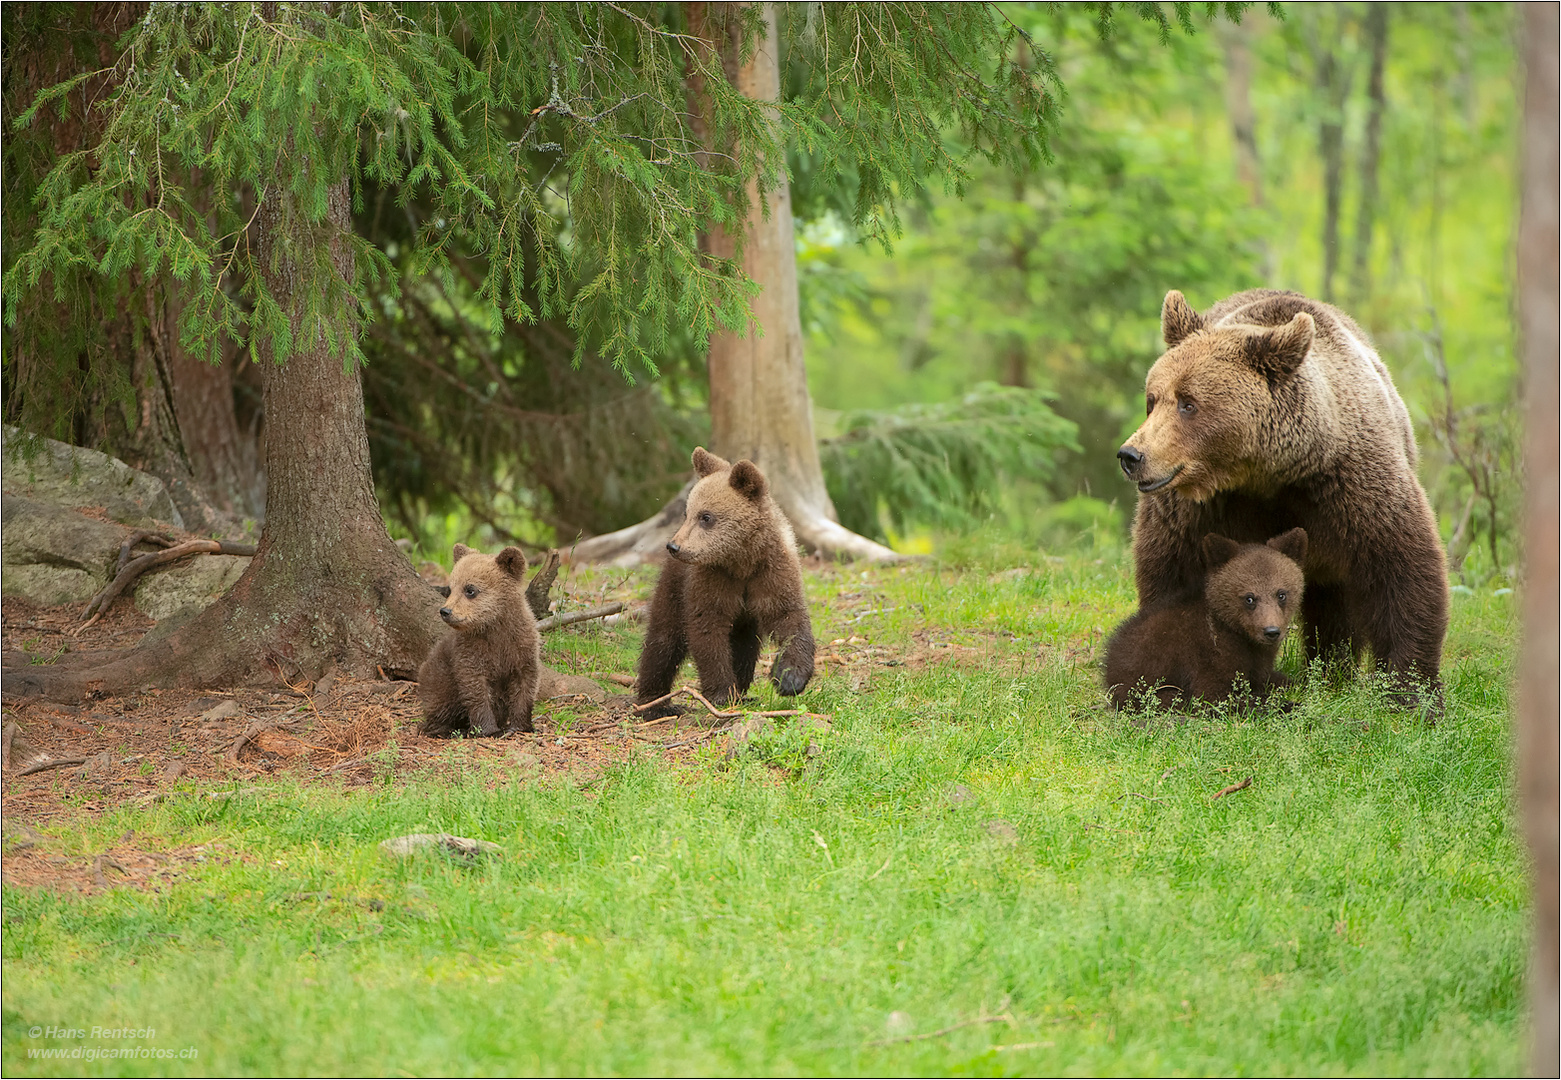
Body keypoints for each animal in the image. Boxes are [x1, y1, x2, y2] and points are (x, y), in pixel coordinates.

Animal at [418, 543, 540, 739]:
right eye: (451, 588)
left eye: (470, 589)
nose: (445, 611)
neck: (494, 627)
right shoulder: (470, 651)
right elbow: (475, 689)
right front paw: (488, 730)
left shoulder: (521, 647)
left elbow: (526, 683)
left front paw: (520, 726)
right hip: (438, 677)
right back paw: (448, 729)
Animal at [633, 446, 817, 717]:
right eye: (688, 513)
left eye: (706, 516)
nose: (674, 546)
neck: (741, 561)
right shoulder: (712, 580)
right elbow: (707, 630)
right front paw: (721, 692)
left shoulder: (772, 573)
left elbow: (789, 619)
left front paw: (789, 678)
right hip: (673, 588)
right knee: (663, 641)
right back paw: (654, 703)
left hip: (743, 619)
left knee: (745, 647)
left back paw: (743, 691)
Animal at [1105, 530, 1311, 711]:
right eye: (1249, 598)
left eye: (1281, 594)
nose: (1271, 631)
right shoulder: (1208, 653)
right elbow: (1213, 695)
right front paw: (1290, 705)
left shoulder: (1258, 661)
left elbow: (1272, 678)